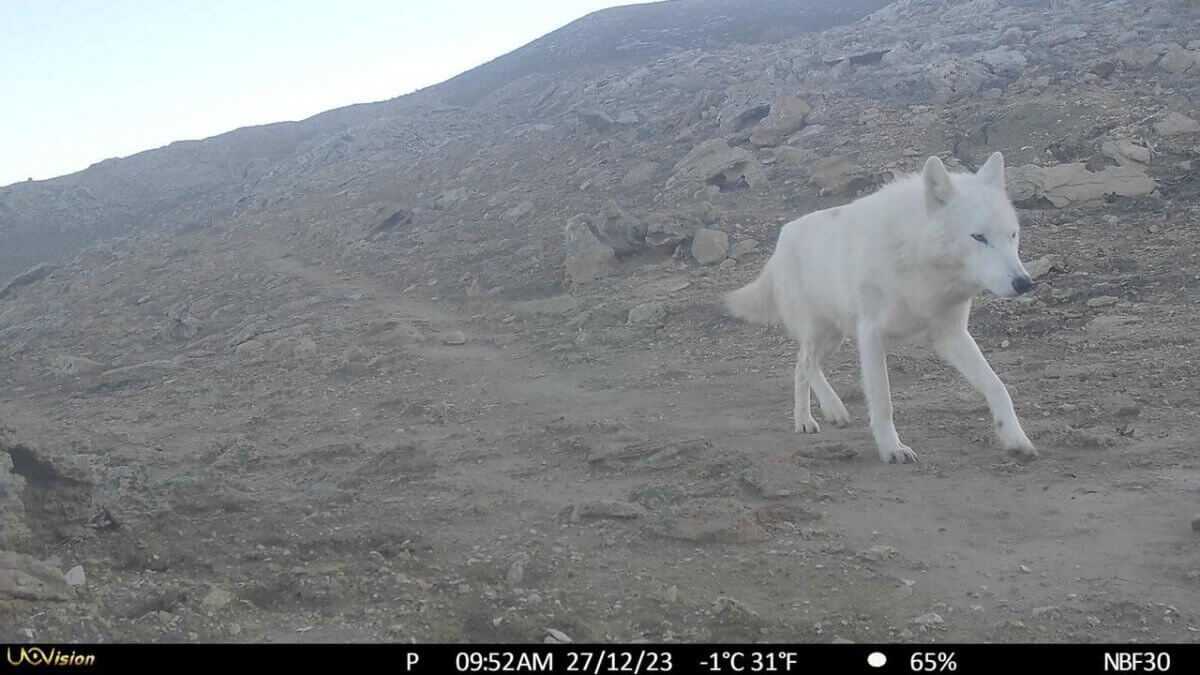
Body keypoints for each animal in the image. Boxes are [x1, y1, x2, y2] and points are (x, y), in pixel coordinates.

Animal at [724, 149, 1036, 458]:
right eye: (979, 237)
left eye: (1013, 234)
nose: (1024, 283)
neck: (918, 260)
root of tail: (783, 236)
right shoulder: (871, 334)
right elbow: (883, 400)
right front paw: (892, 449)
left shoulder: (952, 335)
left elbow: (997, 386)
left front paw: (1015, 437)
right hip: (819, 332)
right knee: (807, 363)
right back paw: (832, 409)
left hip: (833, 338)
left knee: (800, 367)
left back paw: (805, 421)